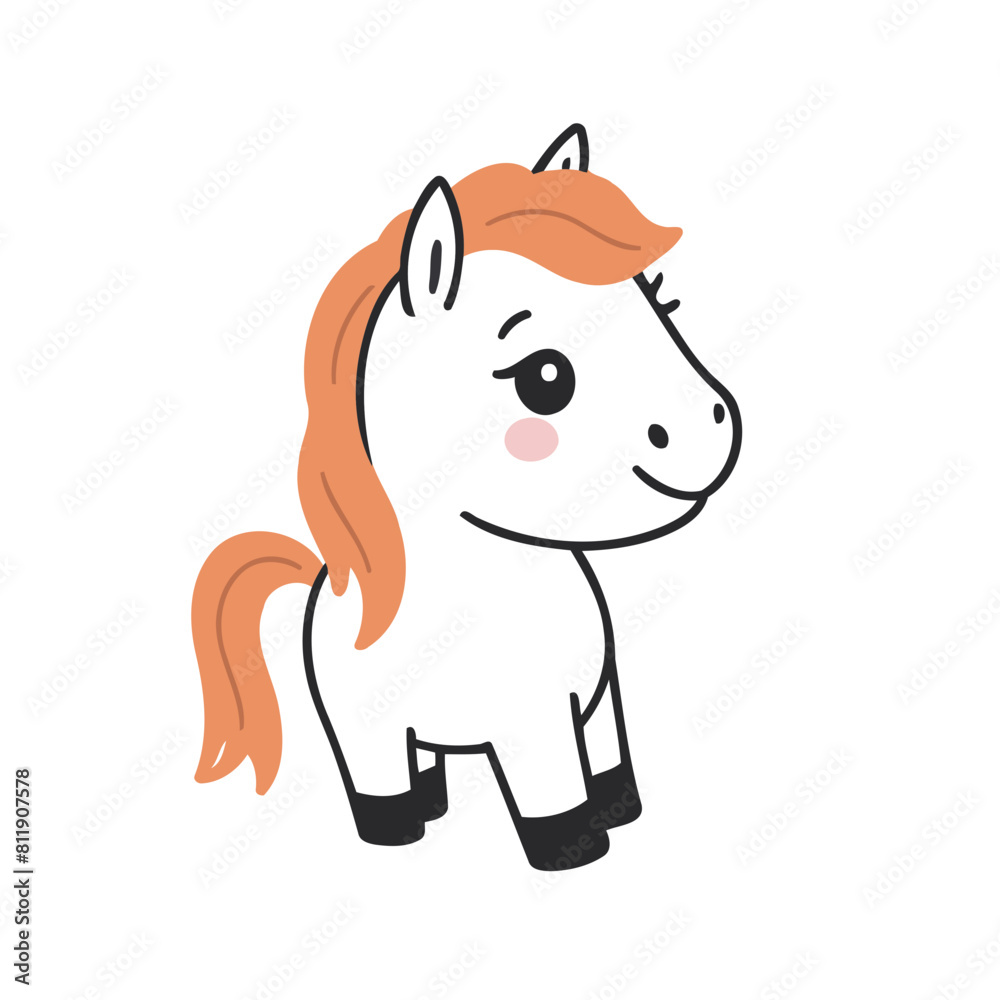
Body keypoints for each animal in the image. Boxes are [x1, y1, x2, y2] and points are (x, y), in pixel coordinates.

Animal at [191, 123, 741, 870]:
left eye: (662, 303)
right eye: (545, 376)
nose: (708, 424)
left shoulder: (596, 706)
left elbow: (609, 768)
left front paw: (620, 812)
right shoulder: (534, 722)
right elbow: (555, 799)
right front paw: (572, 850)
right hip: (361, 728)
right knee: (377, 774)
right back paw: (398, 828)